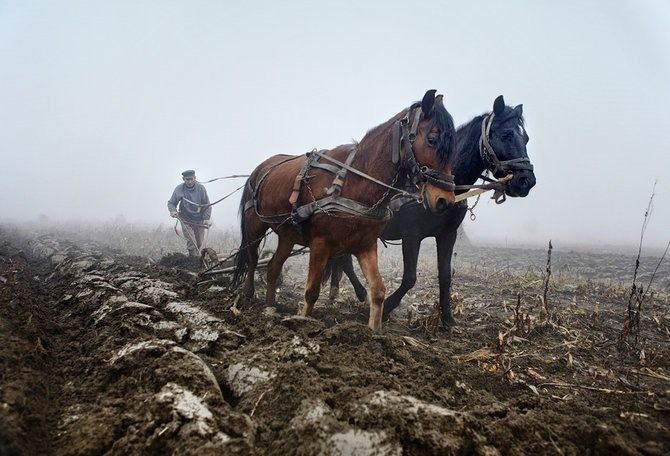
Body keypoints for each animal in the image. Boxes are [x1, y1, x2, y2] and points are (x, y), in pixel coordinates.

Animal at [234, 90, 460, 332]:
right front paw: (303, 321)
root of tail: (260, 169)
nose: (445, 201)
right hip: (255, 224)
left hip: (288, 235)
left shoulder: (365, 245)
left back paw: (270, 306)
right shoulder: (320, 243)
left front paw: (374, 331)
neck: (354, 181)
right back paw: (248, 294)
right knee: (253, 257)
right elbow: (311, 292)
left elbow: (378, 291)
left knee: (273, 267)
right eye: (432, 139)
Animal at [328, 94, 540, 326]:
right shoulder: (412, 234)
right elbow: (410, 278)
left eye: (526, 139)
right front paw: (387, 308)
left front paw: (447, 318)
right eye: (506, 134)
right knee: (344, 260)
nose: (526, 181)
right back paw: (360, 294)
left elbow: (445, 276)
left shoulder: (448, 234)